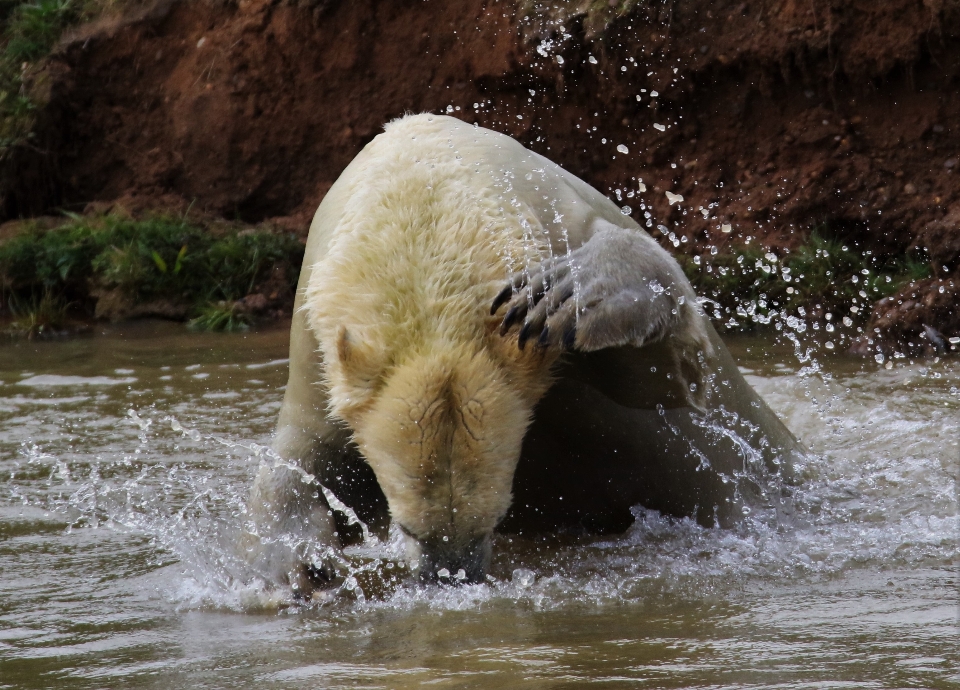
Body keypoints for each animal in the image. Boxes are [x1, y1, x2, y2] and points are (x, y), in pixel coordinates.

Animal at [248, 114, 804, 596]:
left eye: (492, 522)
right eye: (408, 529)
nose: (452, 577)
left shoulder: (562, 217)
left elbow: (673, 378)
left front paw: (572, 292)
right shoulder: (317, 330)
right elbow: (309, 451)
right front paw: (297, 569)